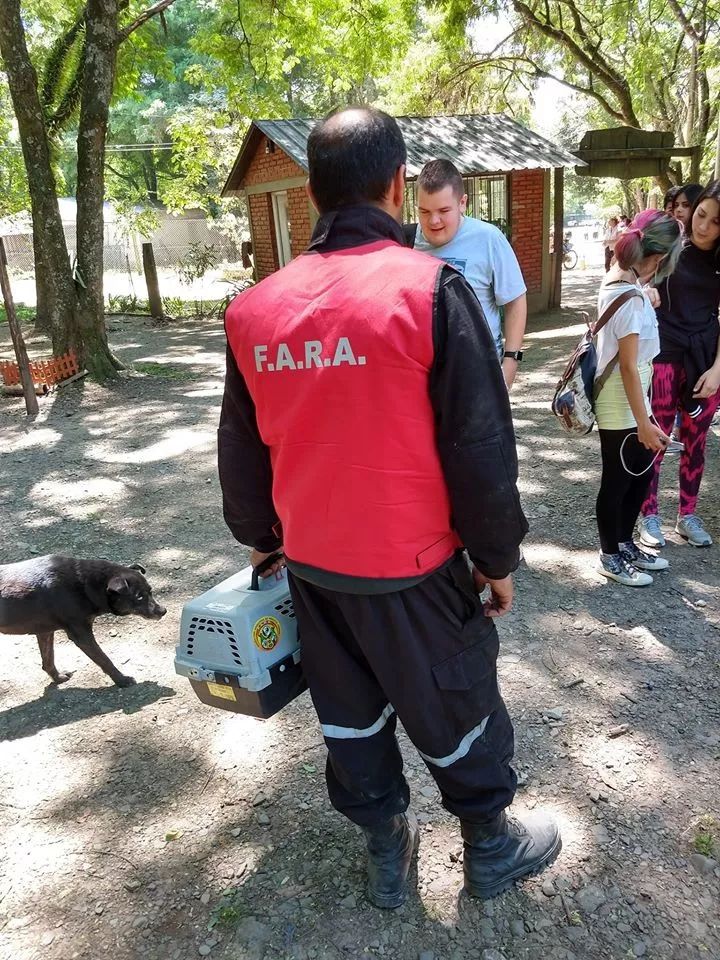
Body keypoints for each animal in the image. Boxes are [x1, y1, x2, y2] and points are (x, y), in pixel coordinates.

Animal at [0, 560, 166, 688]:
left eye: (150, 591)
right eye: (139, 597)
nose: (163, 611)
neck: (85, 585)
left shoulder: (45, 632)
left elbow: (48, 659)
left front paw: (58, 678)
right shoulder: (82, 635)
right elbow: (105, 659)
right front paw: (122, 680)